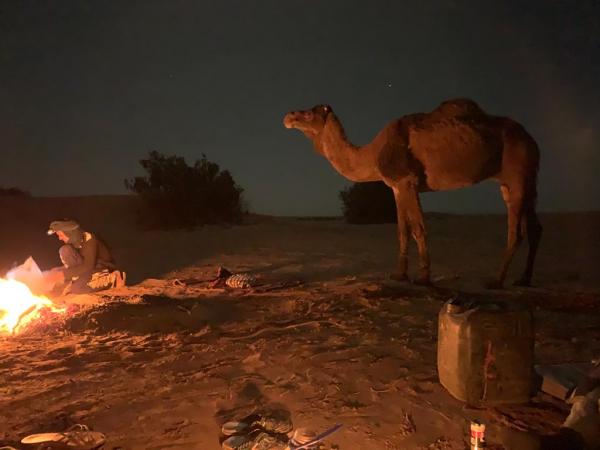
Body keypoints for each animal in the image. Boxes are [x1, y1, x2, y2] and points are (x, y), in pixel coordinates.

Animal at [284, 98, 540, 288]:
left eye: (309, 113)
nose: (289, 116)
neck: (373, 154)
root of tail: (530, 138)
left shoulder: (408, 181)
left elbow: (418, 228)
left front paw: (424, 277)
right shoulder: (397, 187)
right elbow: (402, 230)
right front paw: (400, 275)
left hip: (517, 174)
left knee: (516, 231)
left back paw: (496, 281)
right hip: (521, 181)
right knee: (534, 228)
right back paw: (524, 279)